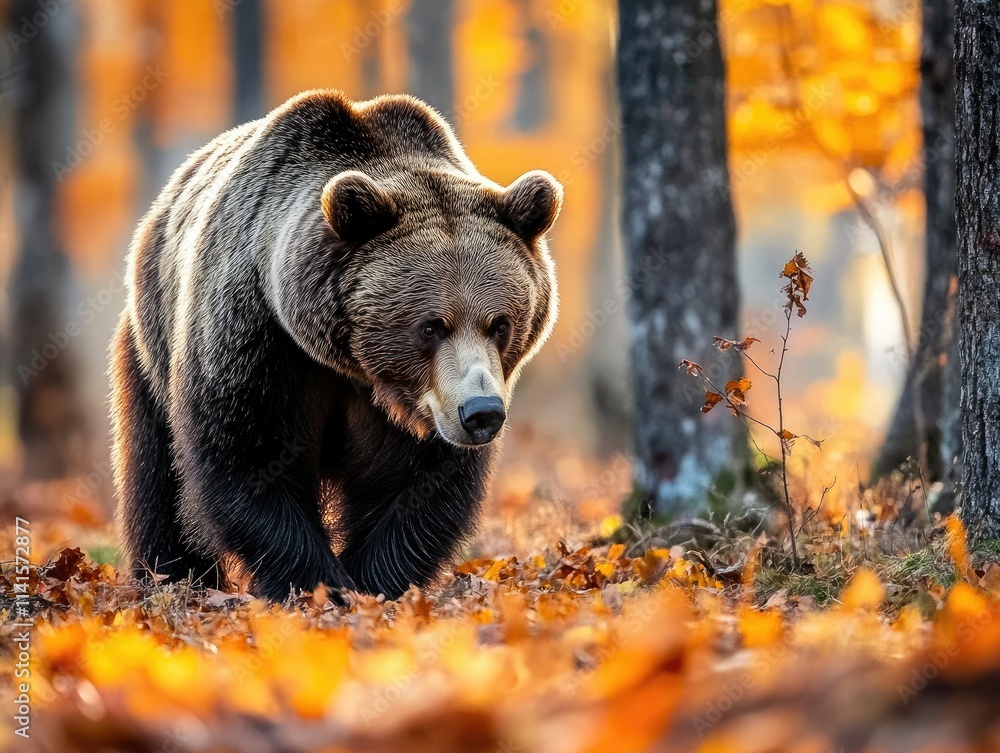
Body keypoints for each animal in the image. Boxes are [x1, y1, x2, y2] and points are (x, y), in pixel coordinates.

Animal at [110, 89, 561, 602]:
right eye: (431, 326)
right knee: (155, 473)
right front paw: (317, 583)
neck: (350, 364)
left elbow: (413, 484)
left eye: (500, 324)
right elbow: (248, 452)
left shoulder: (413, 411)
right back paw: (173, 576)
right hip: (149, 346)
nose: (481, 412)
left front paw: (373, 582)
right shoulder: (259, 338)